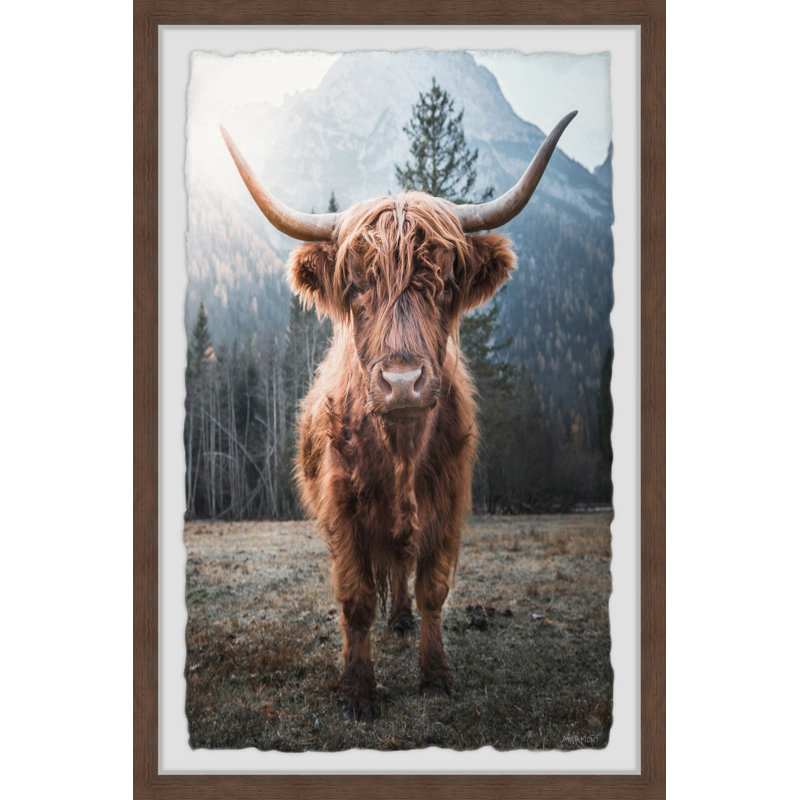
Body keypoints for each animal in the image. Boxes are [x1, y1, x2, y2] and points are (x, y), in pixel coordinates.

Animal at [220, 111, 576, 721]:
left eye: (444, 284)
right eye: (357, 288)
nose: (403, 382)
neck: (401, 451)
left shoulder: (449, 502)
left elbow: (433, 587)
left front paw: (434, 674)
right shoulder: (341, 509)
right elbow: (356, 597)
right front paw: (358, 689)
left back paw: (404, 620)